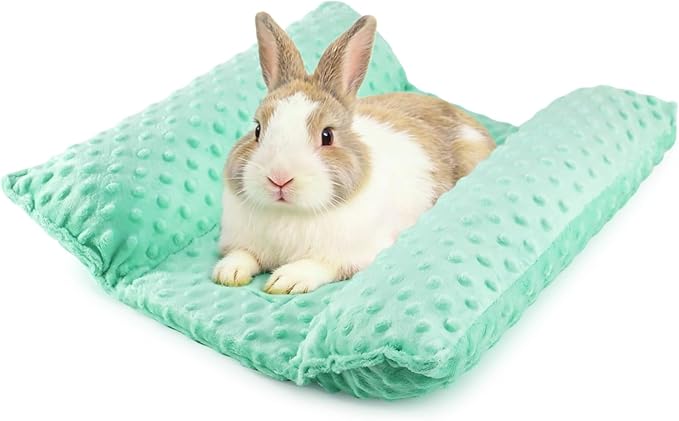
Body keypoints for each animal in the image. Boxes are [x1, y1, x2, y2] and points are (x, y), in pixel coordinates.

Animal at [212, 12, 495, 294]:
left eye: (327, 135)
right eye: (258, 129)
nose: (279, 178)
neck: (290, 213)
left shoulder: (352, 256)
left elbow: (319, 265)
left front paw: (286, 280)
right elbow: (242, 254)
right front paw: (228, 273)